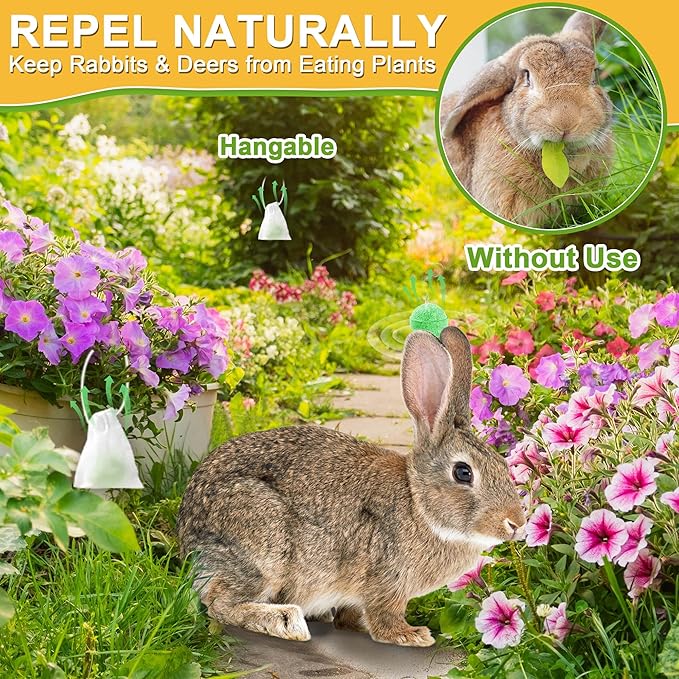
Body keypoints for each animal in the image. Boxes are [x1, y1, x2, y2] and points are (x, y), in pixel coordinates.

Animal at [177, 326, 525, 647]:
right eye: (463, 473)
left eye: (502, 463)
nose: (516, 524)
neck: (419, 505)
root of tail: (187, 531)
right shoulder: (385, 581)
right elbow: (384, 616)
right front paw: (412, 635)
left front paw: (352, 625)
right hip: (263, 543)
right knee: (220, 603)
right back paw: (286, 622)